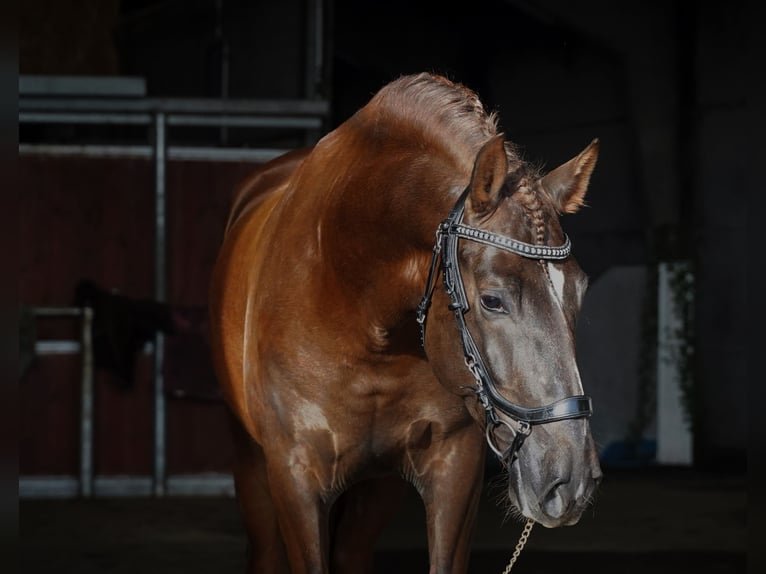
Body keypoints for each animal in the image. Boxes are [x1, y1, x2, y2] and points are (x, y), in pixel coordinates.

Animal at [212, 73, 608, 574]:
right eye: (493, 300)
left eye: (580, 291)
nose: (569, 481)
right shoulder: (295, 476)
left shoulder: (453, 469)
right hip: (251, 466)